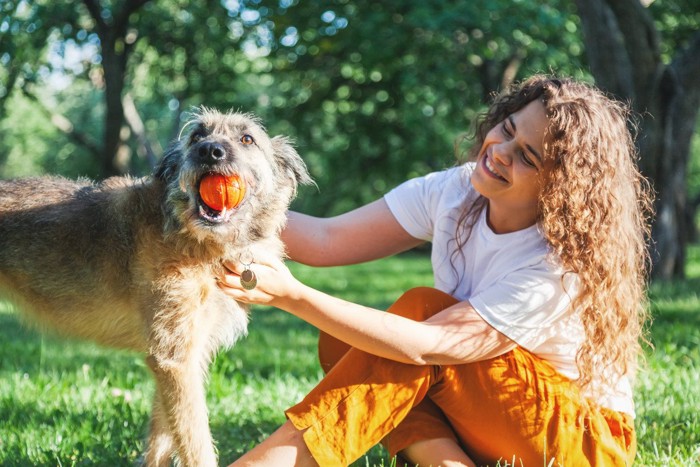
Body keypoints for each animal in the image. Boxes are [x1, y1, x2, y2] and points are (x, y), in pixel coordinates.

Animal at [0, 108, 312, 466]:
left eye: (247, 139)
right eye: (196, 137)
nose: (209, 151)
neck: (196, 240)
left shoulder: (185, 355)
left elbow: (164, 436)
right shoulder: (174, 359)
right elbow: (195, 442)